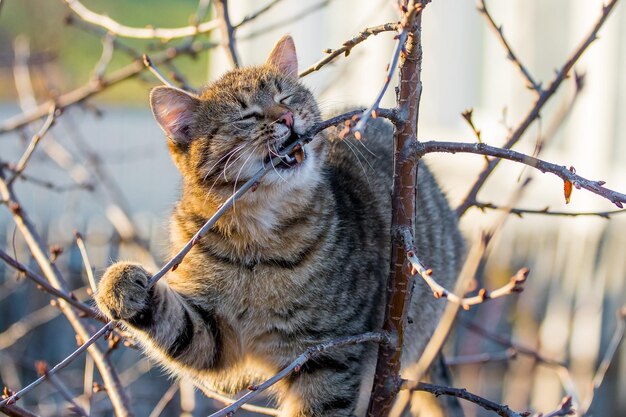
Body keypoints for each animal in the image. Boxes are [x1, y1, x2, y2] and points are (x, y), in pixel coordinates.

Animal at [94, 36, 464, 416]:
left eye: (285, 97)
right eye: (246, 115)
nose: (286, 116)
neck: (254, 237)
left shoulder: (326, 354)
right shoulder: (215, 335)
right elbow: (178, 327)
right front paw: (118, 284)